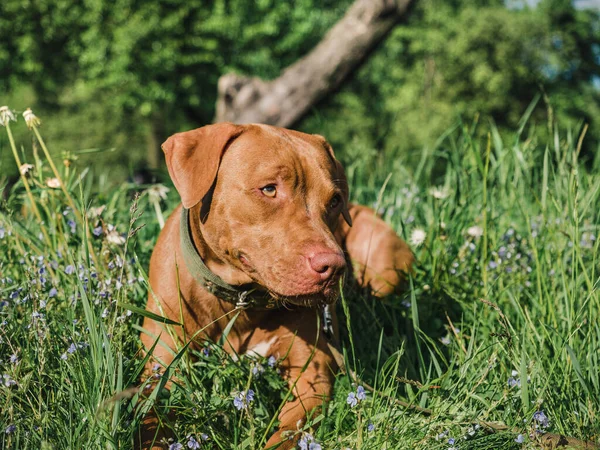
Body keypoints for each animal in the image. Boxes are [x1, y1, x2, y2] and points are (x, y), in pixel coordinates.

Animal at [139, 123, 412, 450]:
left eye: (334, 201)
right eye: (269, 189)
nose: (334, 266)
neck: (240, 300)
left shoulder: (311, 373)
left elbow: (288, 430)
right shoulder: (161, 367)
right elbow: (151, 419)